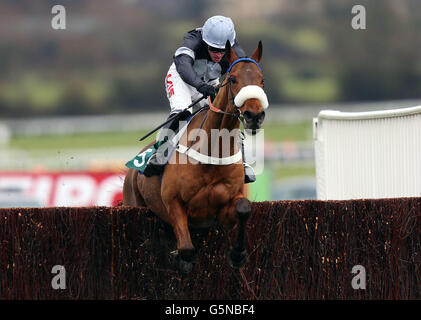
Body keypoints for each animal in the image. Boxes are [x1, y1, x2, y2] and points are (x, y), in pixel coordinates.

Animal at [122, 40, 266, 272]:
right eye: (233, 79)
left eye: (262, 80)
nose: (254, 115)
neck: (212, 151)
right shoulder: (174, 204)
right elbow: (187, 249)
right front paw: (181, 260)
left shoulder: (225, 207)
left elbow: (244, 208)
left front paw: (238, 254)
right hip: (133, 203)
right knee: (180, 112)